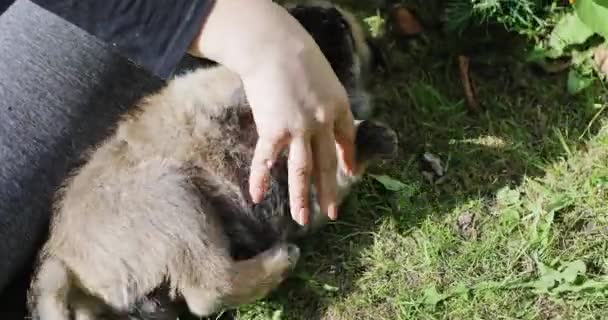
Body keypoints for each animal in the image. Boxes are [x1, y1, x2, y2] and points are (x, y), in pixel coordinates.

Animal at [26, 1, 396, 318]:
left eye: (344, 26)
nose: (328, 18)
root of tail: (61, 259)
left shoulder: (309, 191)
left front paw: (367, 140)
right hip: (173, 197)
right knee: (208, 290)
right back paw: (279, 261)